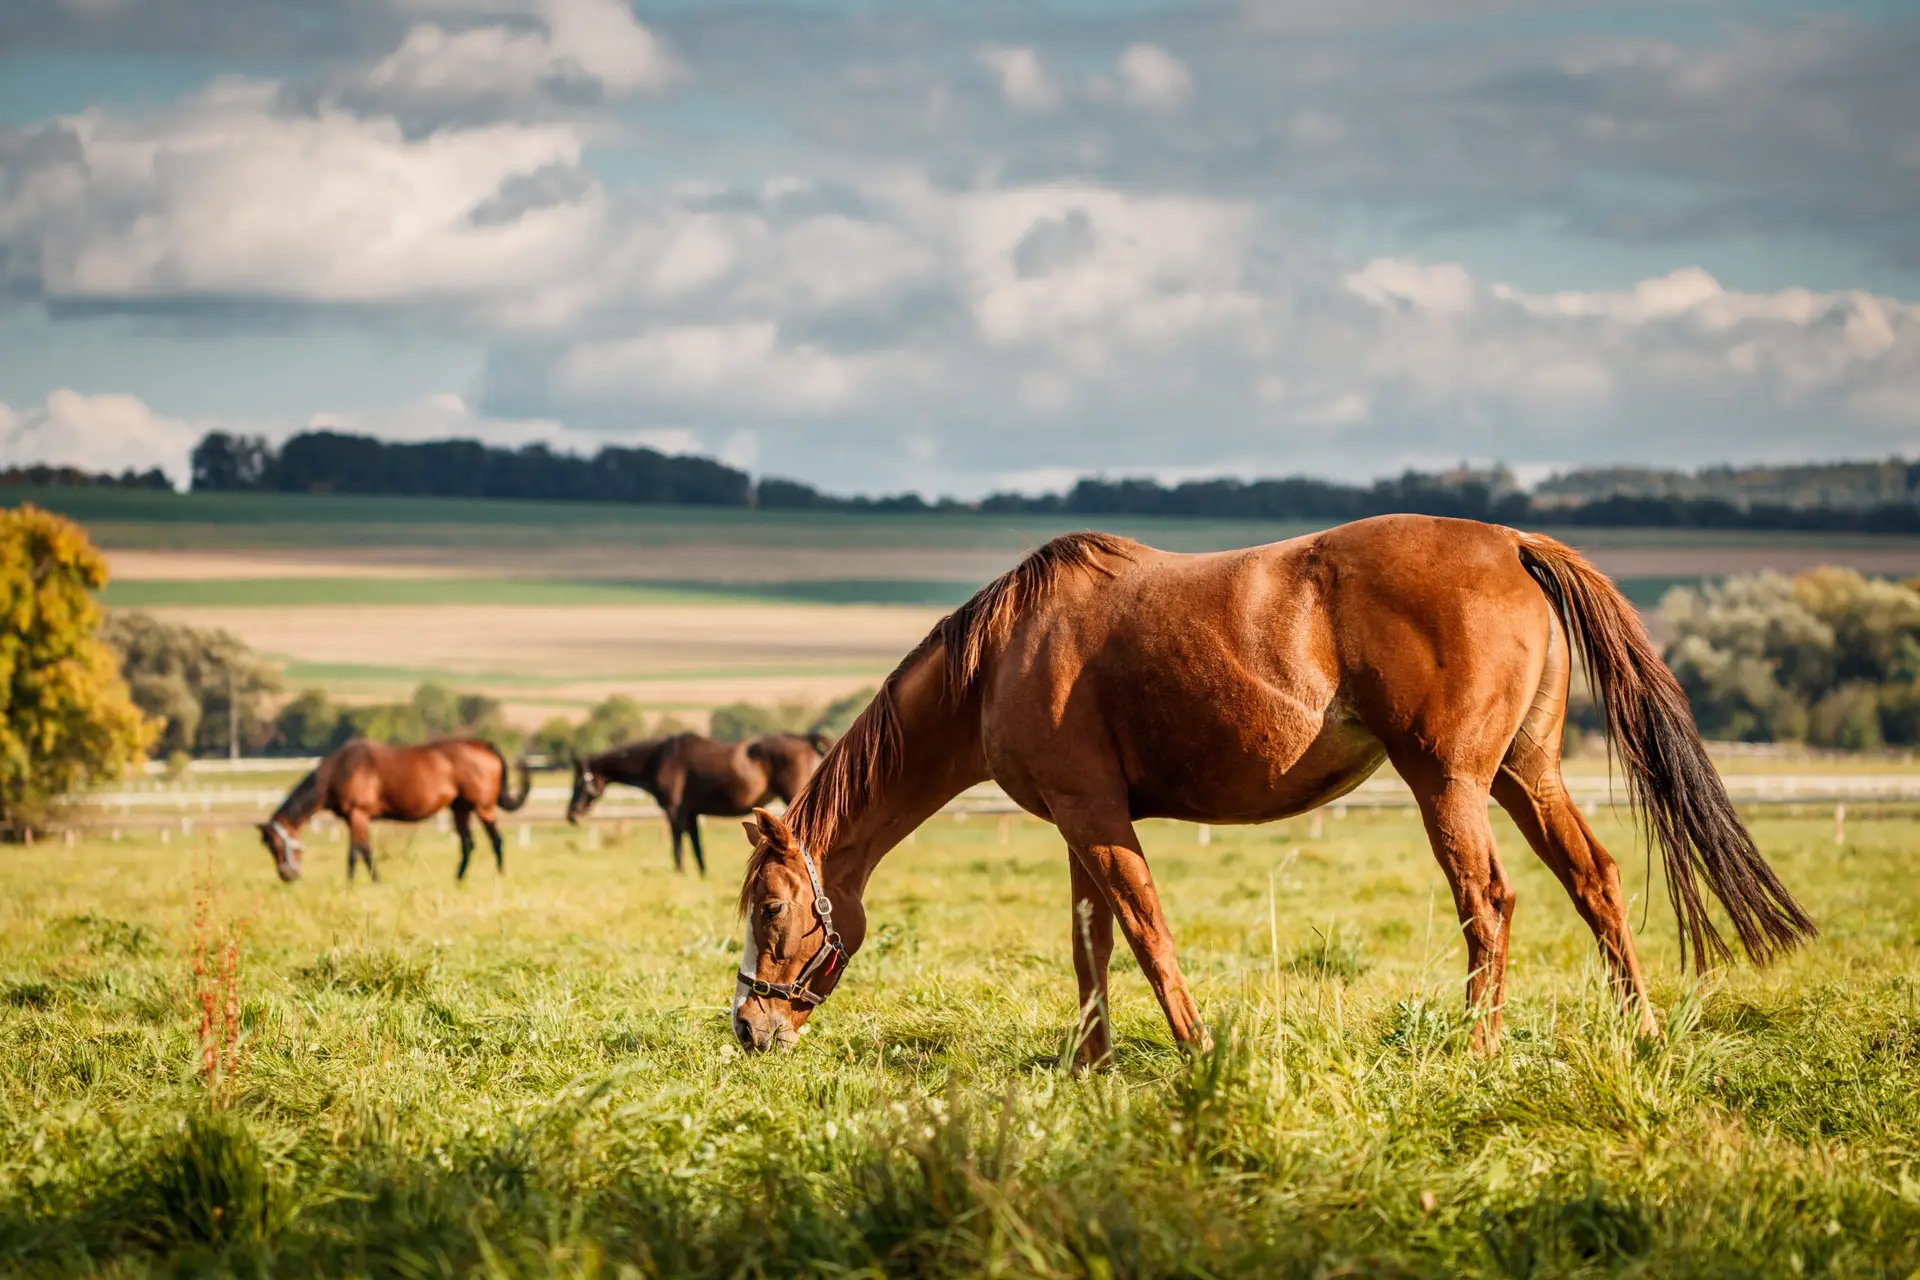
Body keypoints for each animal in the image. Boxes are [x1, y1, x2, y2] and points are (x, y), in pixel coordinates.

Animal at [259, 738, 532, 883]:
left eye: (278, 845)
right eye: (270, 848)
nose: (287, 875)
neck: (340, 771)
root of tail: (485, 746)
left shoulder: (359, 814)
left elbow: (359, 851)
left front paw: (361, 882)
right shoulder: (353, 819)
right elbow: (360, 851)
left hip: (483, 808)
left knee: (496, 840)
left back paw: (499, 876)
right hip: (460, 808)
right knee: (468, 844)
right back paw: (458, 880)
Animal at [567, 731, 829, 875]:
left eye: (580, 780)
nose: (571, 814)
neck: (659, 760)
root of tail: (806, 739)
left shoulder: (675, 812)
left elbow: (678, 844)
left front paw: (680, 871)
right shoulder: (691, 813)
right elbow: (696, 845)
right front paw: (702, 873)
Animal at [733, 515, 1815, 1063]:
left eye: (772, 908)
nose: (748, 1026)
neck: (1003, 655)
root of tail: (1511, 542)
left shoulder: (1097, 817)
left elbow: (1147, 935)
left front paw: (1198, 1050)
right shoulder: (1080, 827)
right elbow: (1091, 946)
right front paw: (1091, 1066)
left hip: (1450, 784)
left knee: (1490, 902)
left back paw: (1476, 1047)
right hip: (1526, 774)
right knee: (1594, 880)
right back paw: (1641, 1030)